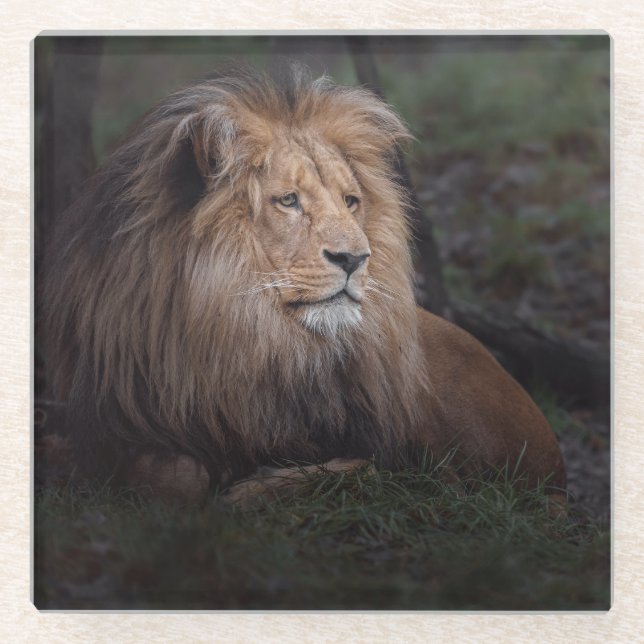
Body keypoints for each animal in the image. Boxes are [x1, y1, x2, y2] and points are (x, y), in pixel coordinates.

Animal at [40, 66, 566, 506]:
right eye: (288, 201)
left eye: (351, 201)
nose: (355, 258)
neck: (239, 332)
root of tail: (559, 466)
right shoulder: (116, 422)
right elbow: (170, 475)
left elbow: (373, 464)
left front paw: (246, 489)